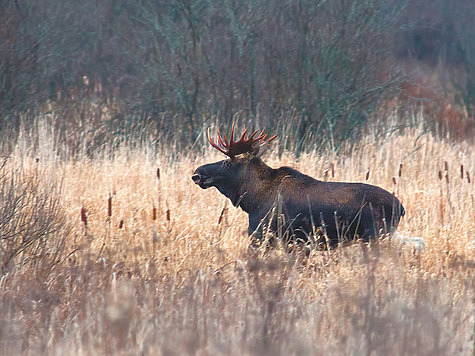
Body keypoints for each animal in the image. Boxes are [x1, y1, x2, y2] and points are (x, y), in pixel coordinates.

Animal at [193, 125, 406, 248]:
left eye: (228, 163)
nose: (197, 174)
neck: (252, 199)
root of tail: (402, 208)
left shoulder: (263, 233)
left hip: (377, 234)